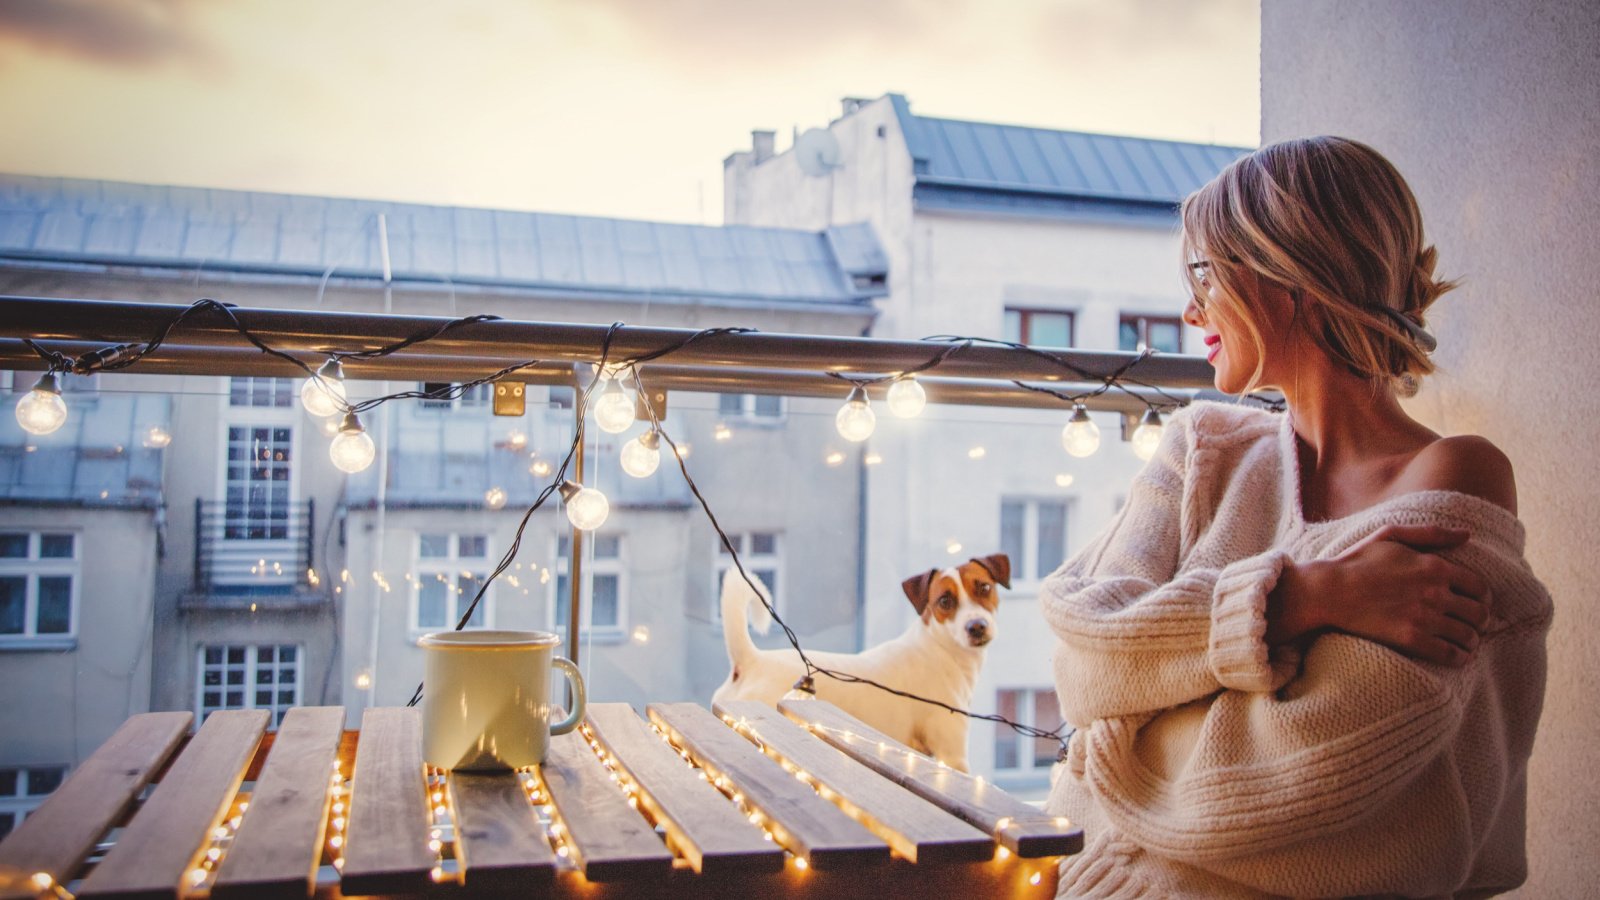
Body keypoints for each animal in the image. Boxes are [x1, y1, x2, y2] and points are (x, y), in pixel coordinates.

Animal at [713, 550, 1011, 768]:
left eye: (984, 588)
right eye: (945, 601)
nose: (976, 627)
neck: (940, 646)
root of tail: (751, 660)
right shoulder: (952, 754)